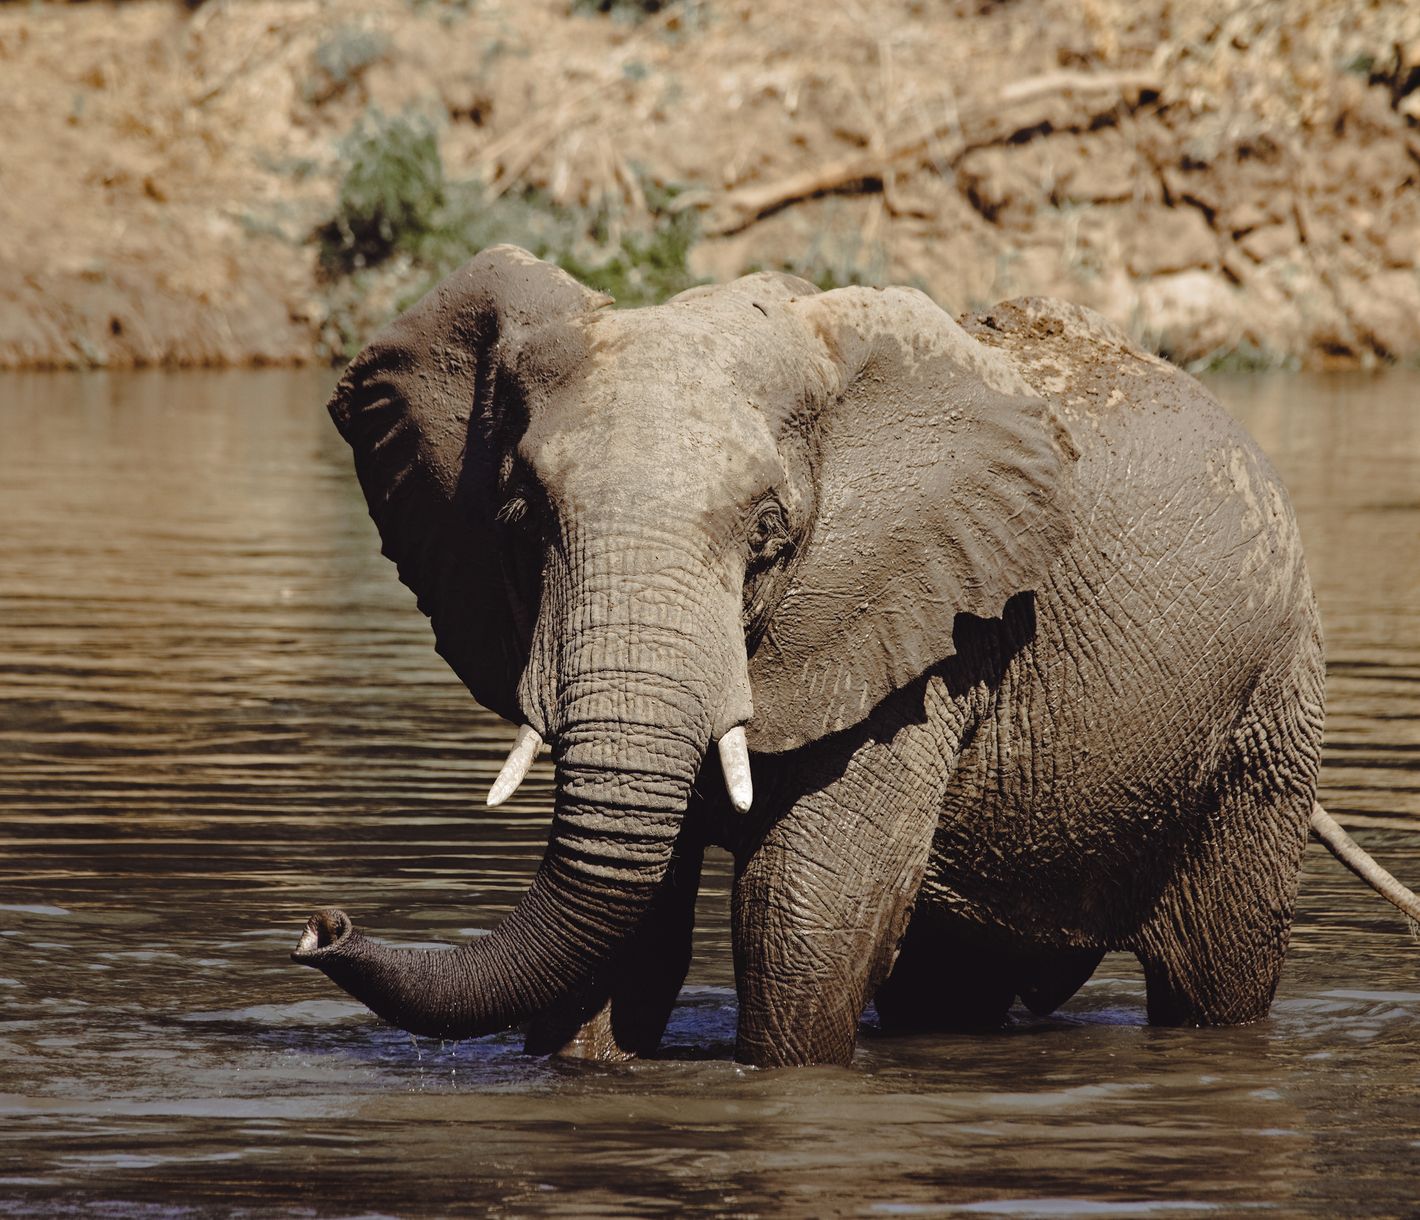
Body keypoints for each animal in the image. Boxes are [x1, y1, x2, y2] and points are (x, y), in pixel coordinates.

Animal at [292, 244, 1419, 1068]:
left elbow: (802, 917)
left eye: (769, 534)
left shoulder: (924, 639)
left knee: (1213, 978)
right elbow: (631, 934)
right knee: (948, 984)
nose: (322, 923)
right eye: (522, 519)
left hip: (1265, 703)